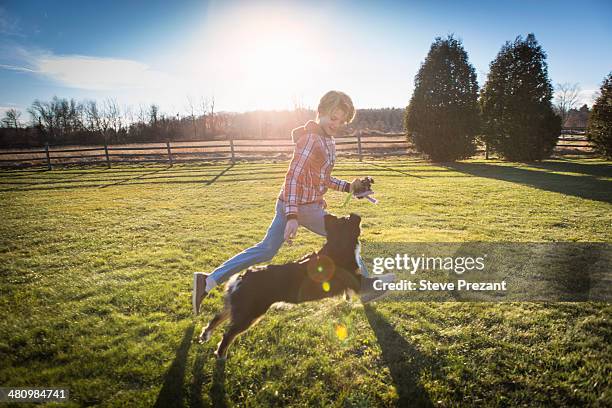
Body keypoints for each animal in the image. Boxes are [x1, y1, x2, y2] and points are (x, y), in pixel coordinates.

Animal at [198, 212, 376, 358]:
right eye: (348, 219)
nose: (356, 214)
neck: (338, 245)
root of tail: (241, 277)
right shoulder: (356, 279)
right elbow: (376, 281)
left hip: (238, 307)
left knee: (217, 317)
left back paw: (205, 336)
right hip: (250, 313)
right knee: (228, 334)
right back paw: (221, 355)